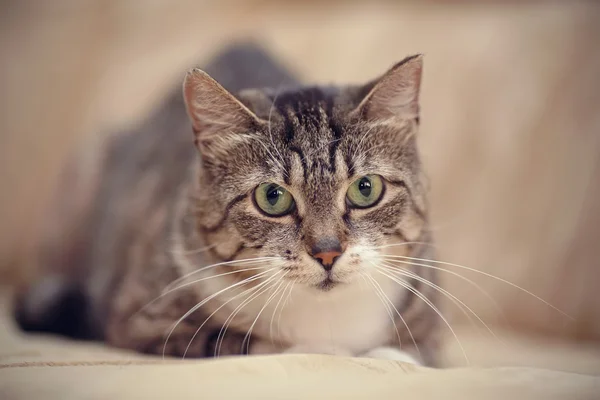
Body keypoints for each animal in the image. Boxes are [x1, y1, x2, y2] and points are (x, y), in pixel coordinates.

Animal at [11, 43, 438, 366]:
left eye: (365, 189)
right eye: (272, 197)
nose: (328, 252)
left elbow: (411, 352)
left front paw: (388, 355)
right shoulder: (140, 319)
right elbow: (244, 342)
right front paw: (324, 351)